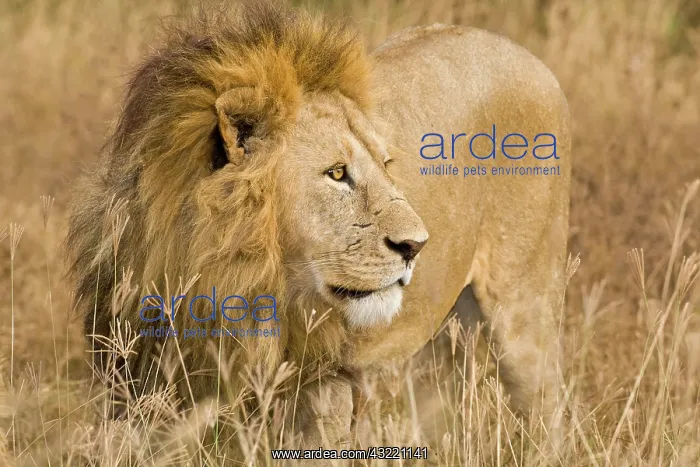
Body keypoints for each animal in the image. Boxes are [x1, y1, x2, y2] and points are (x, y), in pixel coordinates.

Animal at [66, 0, 570, 459]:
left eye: (386, 164)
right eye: (337, 174)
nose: (416, 246)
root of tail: (527, 55)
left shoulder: (324, 390)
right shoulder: (140, 388)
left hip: (522, 305)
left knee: (546, 407)